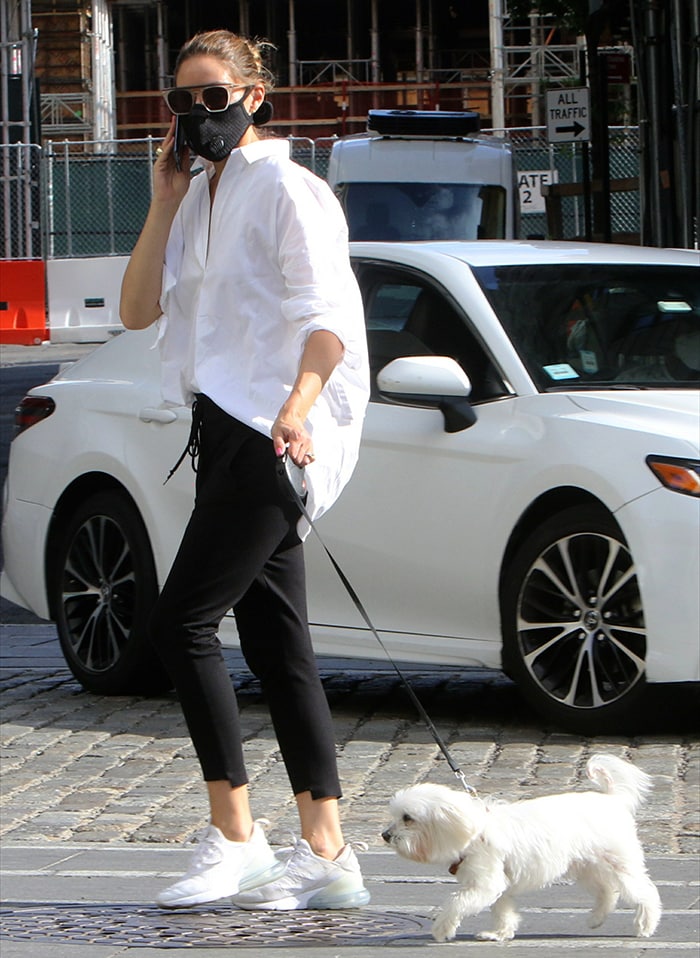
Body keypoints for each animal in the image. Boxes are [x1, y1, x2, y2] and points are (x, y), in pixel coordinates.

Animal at [382, 756, 660, 944]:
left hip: (619, 865)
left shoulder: (484, 884)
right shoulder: (499, 885)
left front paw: (442, 929)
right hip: (586, 866)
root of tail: (612, 799)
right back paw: (596, 919)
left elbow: (456, 902)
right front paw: (498, 933)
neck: (472, 830)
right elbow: (502, 910)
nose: (385, 835)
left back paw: (645, 925)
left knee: (646, 894)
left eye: (408, 818)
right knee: (607, 892)